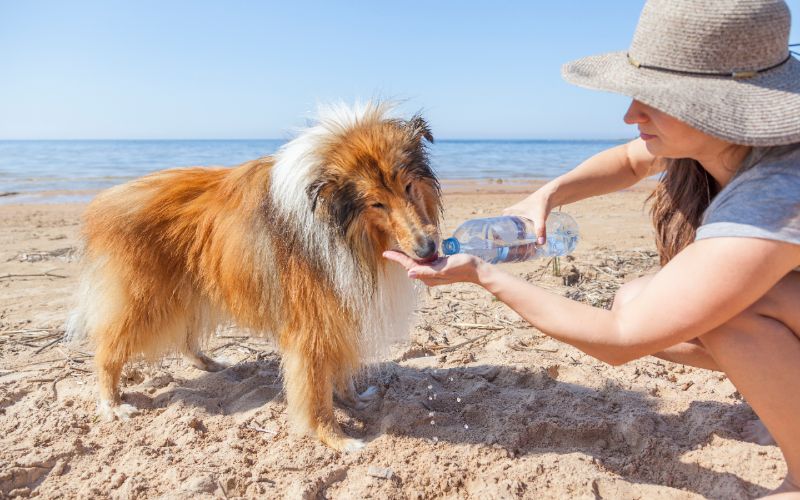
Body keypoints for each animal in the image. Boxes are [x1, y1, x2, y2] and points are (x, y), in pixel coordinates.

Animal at [67, 102, 444, 454]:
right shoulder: (311, 324)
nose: (427, 249)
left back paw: (210, 364)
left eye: (408, 186)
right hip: (144, 301)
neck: (336, 223)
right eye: (376, 203)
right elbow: (315, 391)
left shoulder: (337, 309)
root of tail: (106, 201)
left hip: (188, 290)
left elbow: (339, 370)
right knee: (107, 351)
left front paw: (353, 400)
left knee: (185, 338)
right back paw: (113, 403)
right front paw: (337, 438)